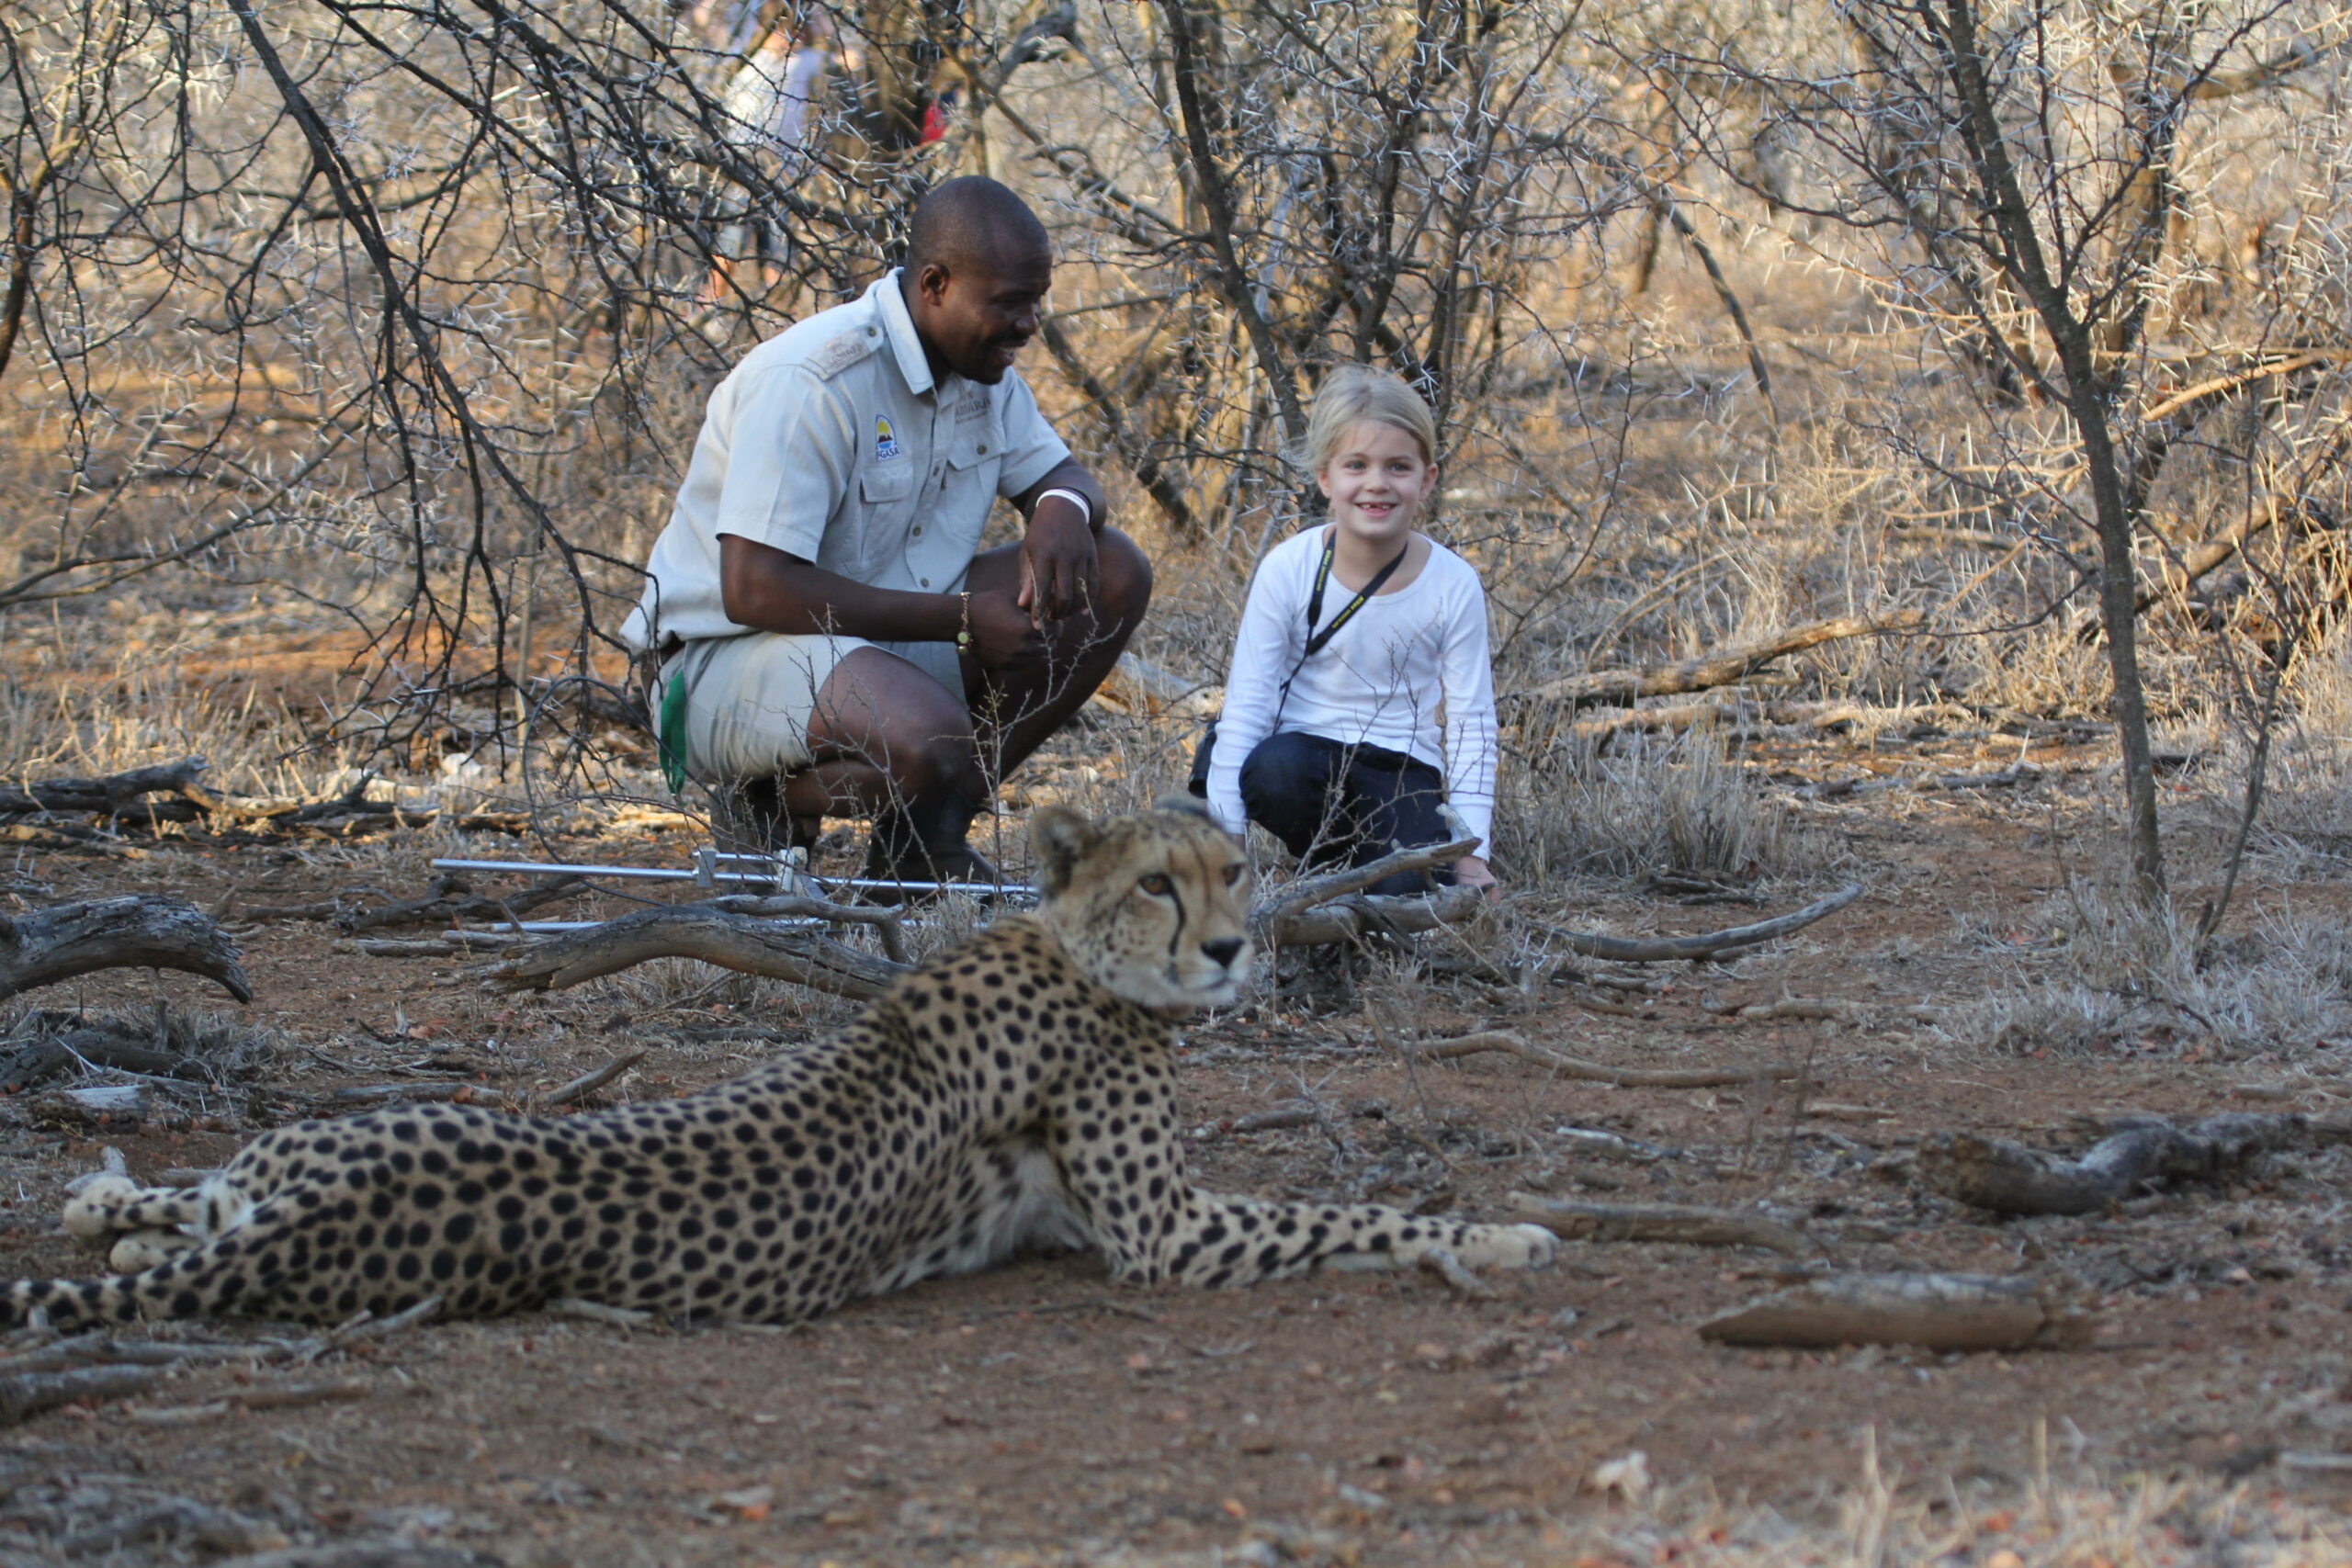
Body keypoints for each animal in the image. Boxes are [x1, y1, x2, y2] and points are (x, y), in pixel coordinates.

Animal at [5, 804, 1561, 1335]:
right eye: (1160, 886)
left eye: (1233, 871)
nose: (1237, 947)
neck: (1071, 952)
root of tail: (317, 1214)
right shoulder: (1164, 1234)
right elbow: (1354, 1211)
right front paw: (1500, 1233)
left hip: (302, 1160)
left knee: (173, 1199)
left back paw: (110, 1209)